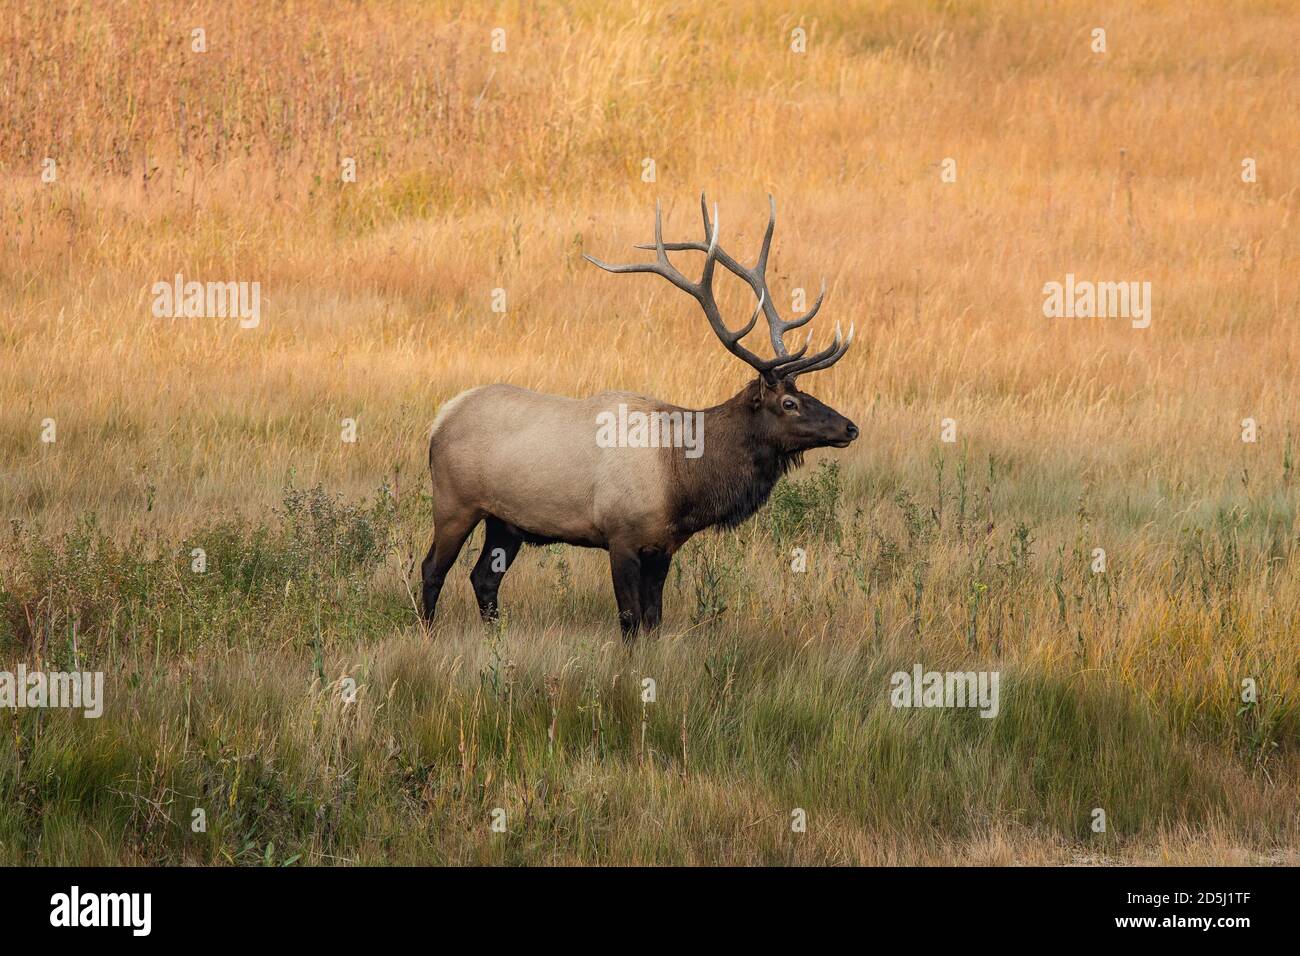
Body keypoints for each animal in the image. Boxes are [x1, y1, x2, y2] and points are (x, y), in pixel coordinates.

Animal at [421, 196, 858, 639]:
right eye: (788, 403)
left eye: (804, 394)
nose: (850, 427)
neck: (682, 480)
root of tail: (442, 418)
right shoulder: (622, 536)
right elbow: (631, 620)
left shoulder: (662, 547)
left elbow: (653, 620)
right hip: (454, 502)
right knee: (432, 569)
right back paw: (427, 631)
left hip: (506, 521)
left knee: (483, 577)